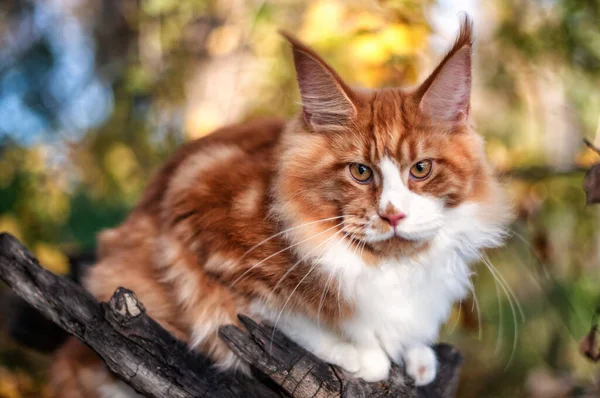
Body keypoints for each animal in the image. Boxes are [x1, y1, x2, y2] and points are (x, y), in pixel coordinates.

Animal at [50, 16, 510, 398]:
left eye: (421, 168)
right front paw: (364, 354)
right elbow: (275, 314)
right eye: (361, 172)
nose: (392, 214)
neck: (389, 266)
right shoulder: (198, 227)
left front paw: (415, 353)